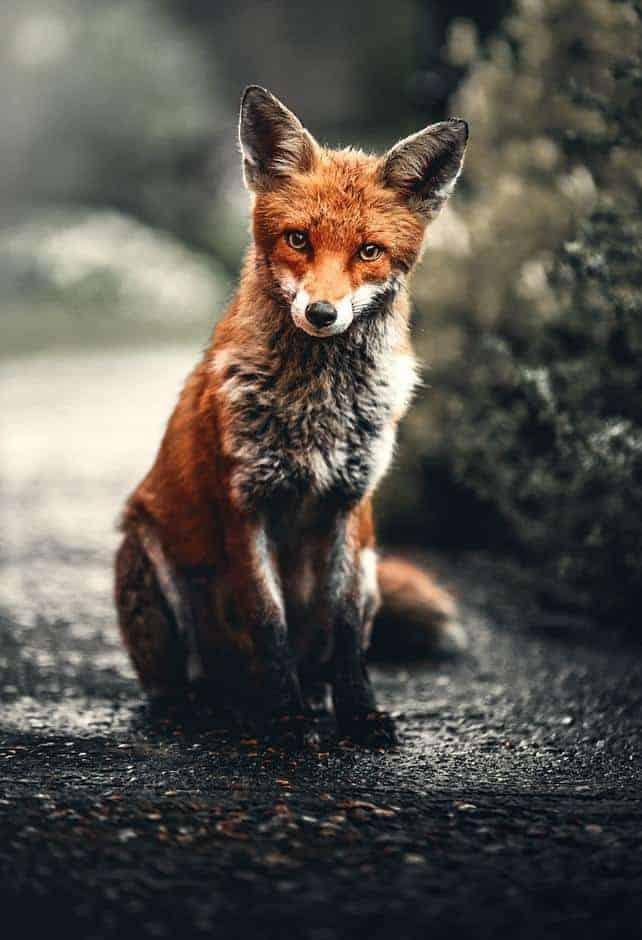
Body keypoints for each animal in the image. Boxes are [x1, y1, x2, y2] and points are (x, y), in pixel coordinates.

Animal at [115, 86, 468, 748]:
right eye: (299, 239)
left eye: (369, 251)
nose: (322, 313)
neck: (317, 408)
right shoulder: (245, 502)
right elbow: (268, 621)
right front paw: (286, 718)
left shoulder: (350, 506)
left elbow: (348, 632)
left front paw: (358, 712)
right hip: (146, 556)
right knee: (181, 682)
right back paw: (205, 707)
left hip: (373, 565)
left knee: (323, 655)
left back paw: (313, 695)